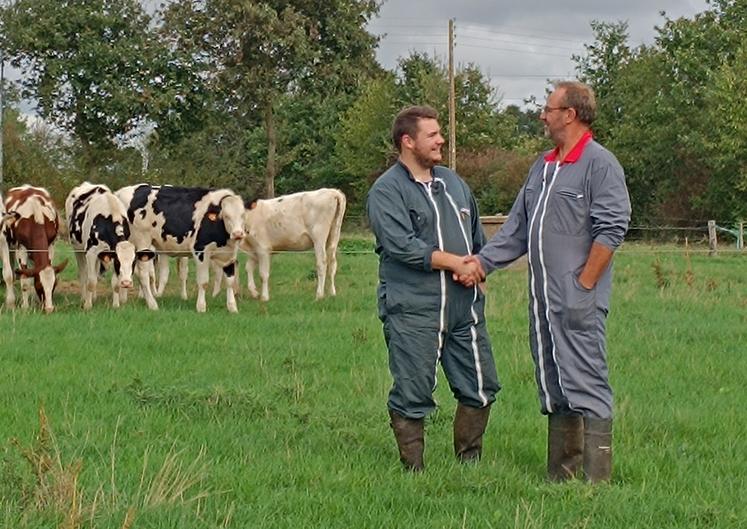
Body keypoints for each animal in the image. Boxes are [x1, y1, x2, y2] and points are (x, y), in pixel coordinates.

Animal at [64, 182, 158, 310]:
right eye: (118, 261)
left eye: (134, 262)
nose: (126, 283)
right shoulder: (91, 252)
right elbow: (91, 281)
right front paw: (88, 305)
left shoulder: (110, 254)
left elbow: (115, 283)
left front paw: (116, 305)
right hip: (78, 249)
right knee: (84, 274)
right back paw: (84, 298)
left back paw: (94, 297)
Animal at [115, 184, 245, 312]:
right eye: (226, 216)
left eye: (242, 215)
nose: (238, 234)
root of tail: (121, 192)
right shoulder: (201, 251)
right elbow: (203, 282)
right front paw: (201, 307)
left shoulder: (230, 255)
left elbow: (229, 281)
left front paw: (232, 307)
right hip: (143, 242)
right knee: (144, 275)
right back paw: (152, 304)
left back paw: (123, 299)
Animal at [215, 188, 346, 302]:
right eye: (226, 216)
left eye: (242, 215)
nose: (237, 233)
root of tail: (332, 192)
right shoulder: (254, 250)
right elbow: (249, 268)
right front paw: (254, 292)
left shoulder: (263, 249)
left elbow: (263, 274)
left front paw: (264, 297)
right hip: (334, 237)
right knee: (332, 263)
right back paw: (332, 293)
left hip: (319, 237)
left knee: (322, 263)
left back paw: (319, 295)